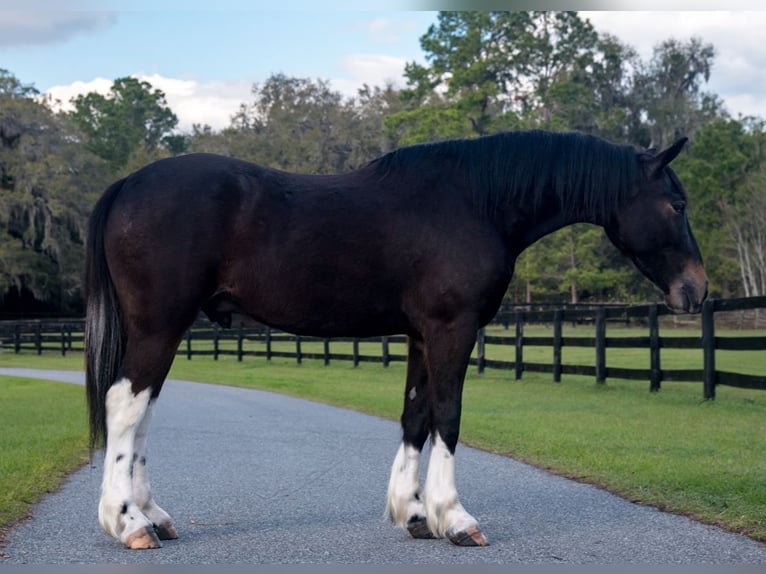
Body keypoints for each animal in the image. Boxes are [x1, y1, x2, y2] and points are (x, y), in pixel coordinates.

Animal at [82, 128, 708, 552]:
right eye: (676, 204)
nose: (697, 290)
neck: (475, 202)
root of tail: (128, 184)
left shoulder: (420, 336)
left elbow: (416, 418)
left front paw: (413, 514)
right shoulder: (452, 329)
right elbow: (448, 418)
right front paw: (454, 518)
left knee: (142, 414)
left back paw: (153, 515)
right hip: (159, 327)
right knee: (125, 406)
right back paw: (128, 523)